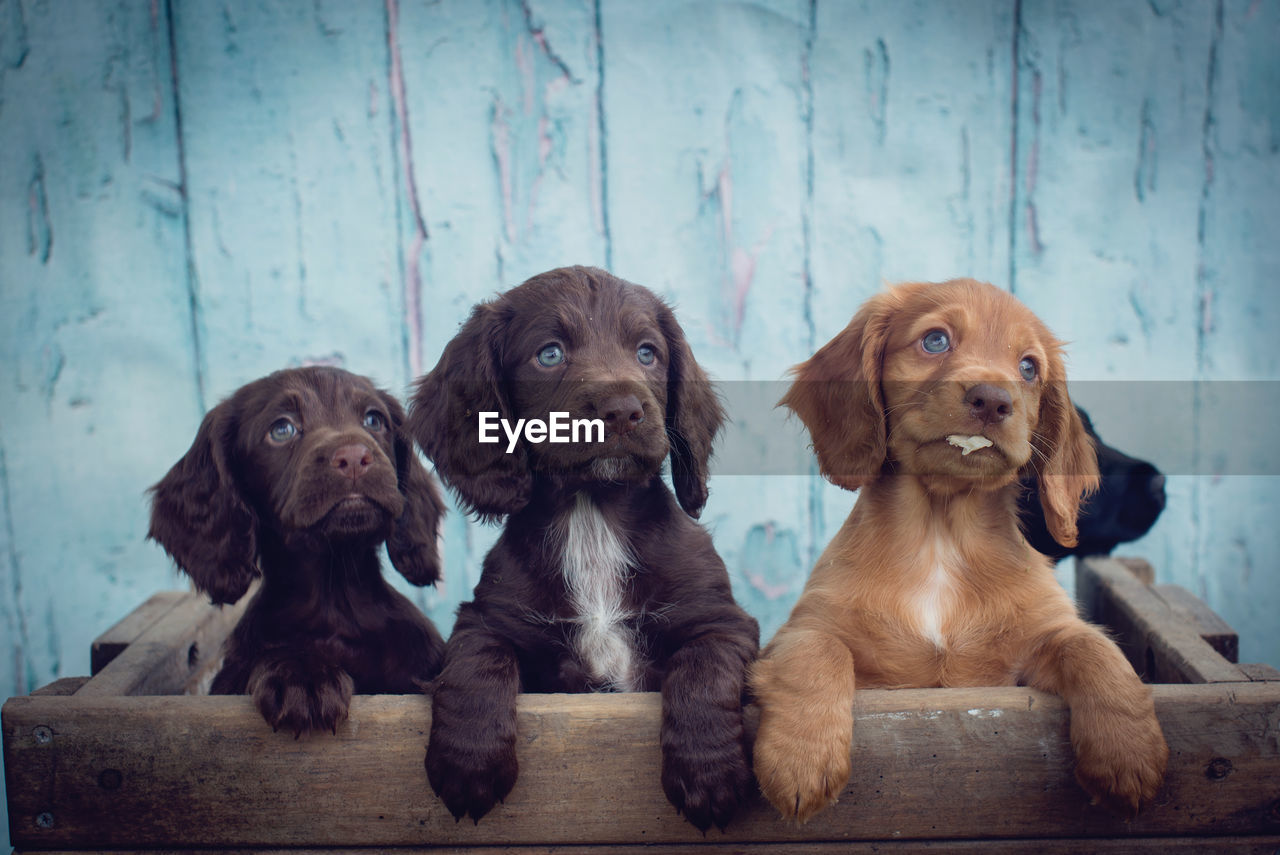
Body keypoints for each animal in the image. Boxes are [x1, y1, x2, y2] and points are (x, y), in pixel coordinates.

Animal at [412, 264, 757, 829]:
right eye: (549, 354)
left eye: (647, 353)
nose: (623, 411)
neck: (591, 516)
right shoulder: (486, 618)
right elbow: (475, 663)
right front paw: (468, 762)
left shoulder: (721, 620)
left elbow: (702, 670)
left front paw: (708, 775)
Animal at [747, 279, 1172, 819]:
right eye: (935, 341)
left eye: (1028, 367)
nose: (992, 400)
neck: (941, 539)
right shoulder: (804, 629)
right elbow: (816, 653)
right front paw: (800, 761)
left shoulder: (1036, 646)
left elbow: (1095, 649)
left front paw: (1129, 755)